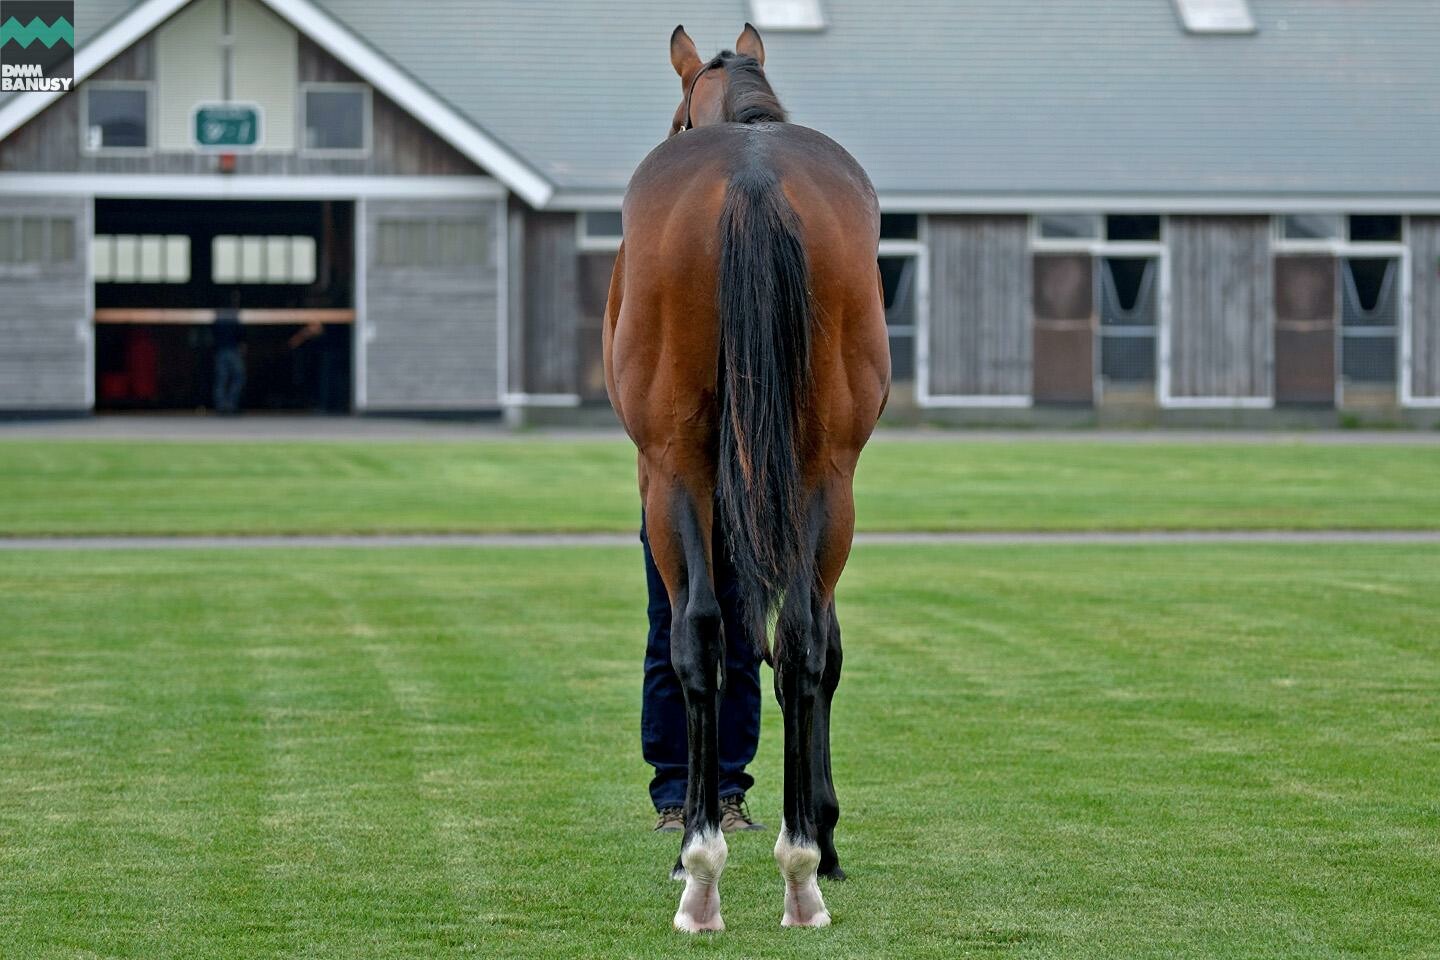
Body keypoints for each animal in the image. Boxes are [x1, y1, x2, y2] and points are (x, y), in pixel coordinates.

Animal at [599, 26, 887, 932]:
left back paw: (703, 868)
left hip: (677, 473)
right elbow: (811, 649)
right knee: (799, 638)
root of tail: (755, 177)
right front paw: (821, 834)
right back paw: (800, 868)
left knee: (699, 633)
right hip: (826, 471)